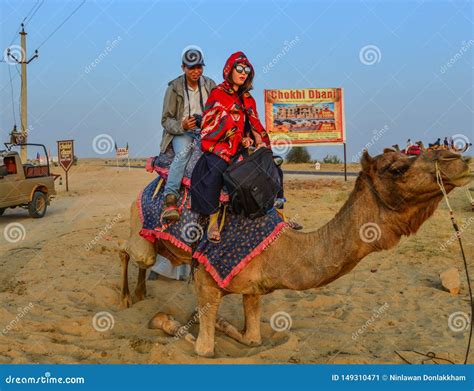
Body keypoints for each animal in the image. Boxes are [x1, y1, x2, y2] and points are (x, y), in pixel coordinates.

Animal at [119, 149, 470, 356]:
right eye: (397, 168)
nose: (456, 157)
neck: (280, 247)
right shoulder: (207, 277)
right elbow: (204, 349)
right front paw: (164, 321)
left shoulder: (253, 287)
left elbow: (253, 339)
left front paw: (222, 325)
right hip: (140, 220)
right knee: (129, 251)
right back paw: (125, 298)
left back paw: (139, 293)